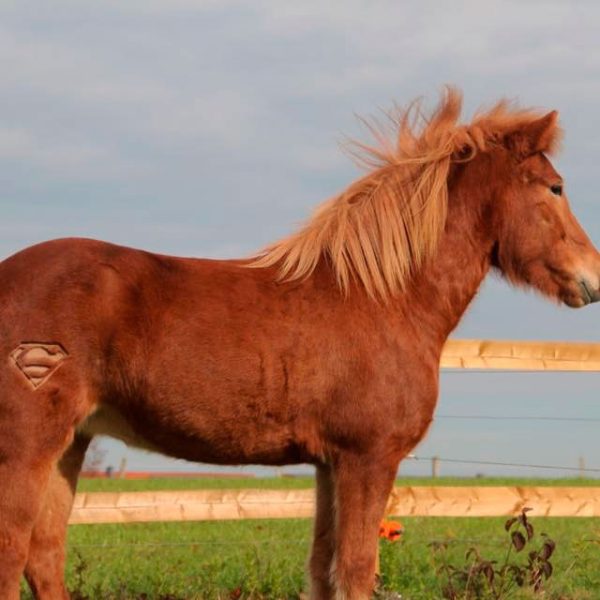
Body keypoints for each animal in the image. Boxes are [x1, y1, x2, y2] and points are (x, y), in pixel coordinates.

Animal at [1, 89, 600, 600]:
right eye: (555, 187)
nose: (591, 278)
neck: (381, 297)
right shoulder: (366, 459)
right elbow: (355, 571)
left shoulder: (330, 465)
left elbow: (323, 570)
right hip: (28, 450)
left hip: (71, 444)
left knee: (43, 560)